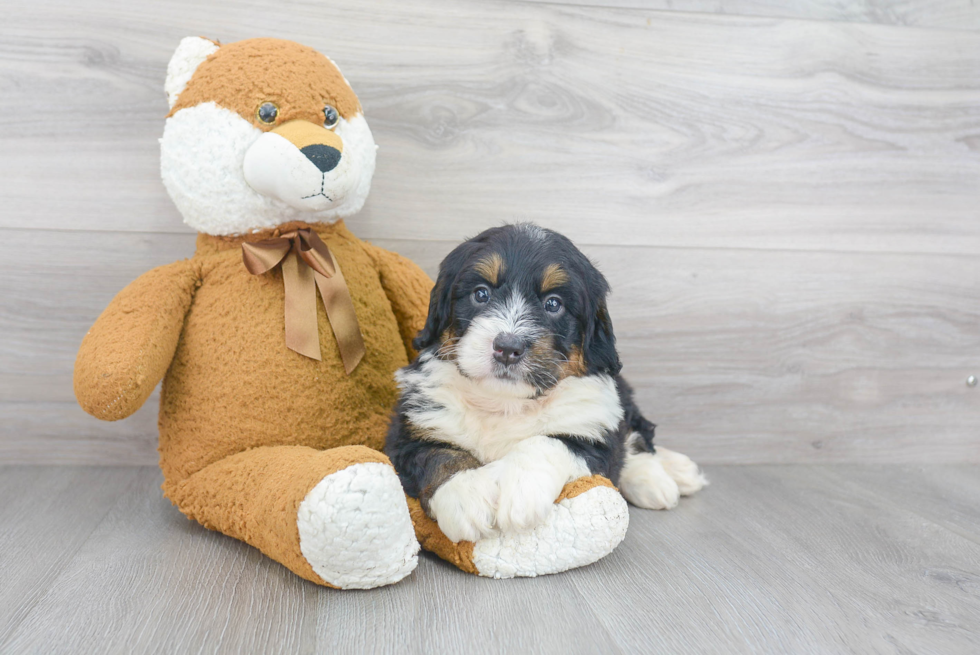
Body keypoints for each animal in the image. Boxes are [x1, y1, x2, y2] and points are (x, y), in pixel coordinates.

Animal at [386, 226, 708, 544]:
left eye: (553, 303)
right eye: (481, 294)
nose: (507, 347)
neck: (505, 403)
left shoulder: (593, 427)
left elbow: (548, 442)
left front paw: (519, 492)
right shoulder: (411, 429)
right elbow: (440, 455)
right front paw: (466, 496)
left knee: (639, 433)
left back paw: (663, 478)